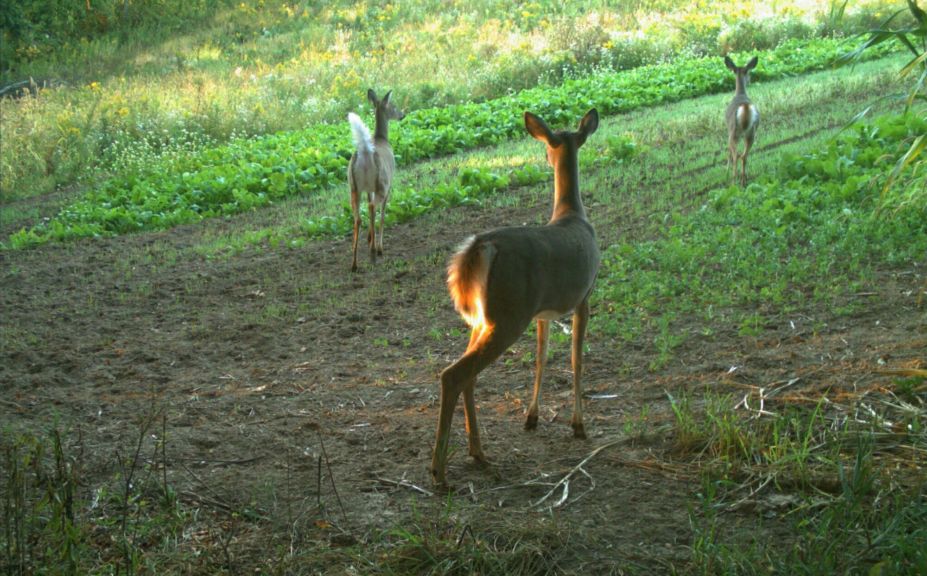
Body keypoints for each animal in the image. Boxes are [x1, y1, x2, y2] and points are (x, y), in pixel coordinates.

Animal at [346, 88, 404, 272]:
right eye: (393, 106)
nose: (402, 115)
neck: (381, 137)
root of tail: (366, 151)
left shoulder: (368, 189)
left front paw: (369, 238)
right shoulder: (389, 185)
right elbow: (384, 215)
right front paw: (379, 247)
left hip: (353, 186)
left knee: (358, 218)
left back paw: (354, 263)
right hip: (382, 183)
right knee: (373, 207)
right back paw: (373, 252)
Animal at [434, 107, 600, 486]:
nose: (545, 157)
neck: (571, 214)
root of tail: (480, 246)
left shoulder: (543, 312)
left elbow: (541, 358)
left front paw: (532, 417)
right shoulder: (584, 296)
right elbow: (577, 359)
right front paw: (579, 425)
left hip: (484, 317)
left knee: (469, 375)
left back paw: (478, 453)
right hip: (508, 314)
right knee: (454, 374)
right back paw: (439, 471)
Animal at [724, 55, 760, 188]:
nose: (750, 80)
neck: (740, 93)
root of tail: (745, 108)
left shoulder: (728, 130)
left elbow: (729, 152)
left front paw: (726, 170)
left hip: (733, 133)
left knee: (736, 155)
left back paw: (734, 181)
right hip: (751, 133)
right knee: (744, 156)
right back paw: (744, 181)